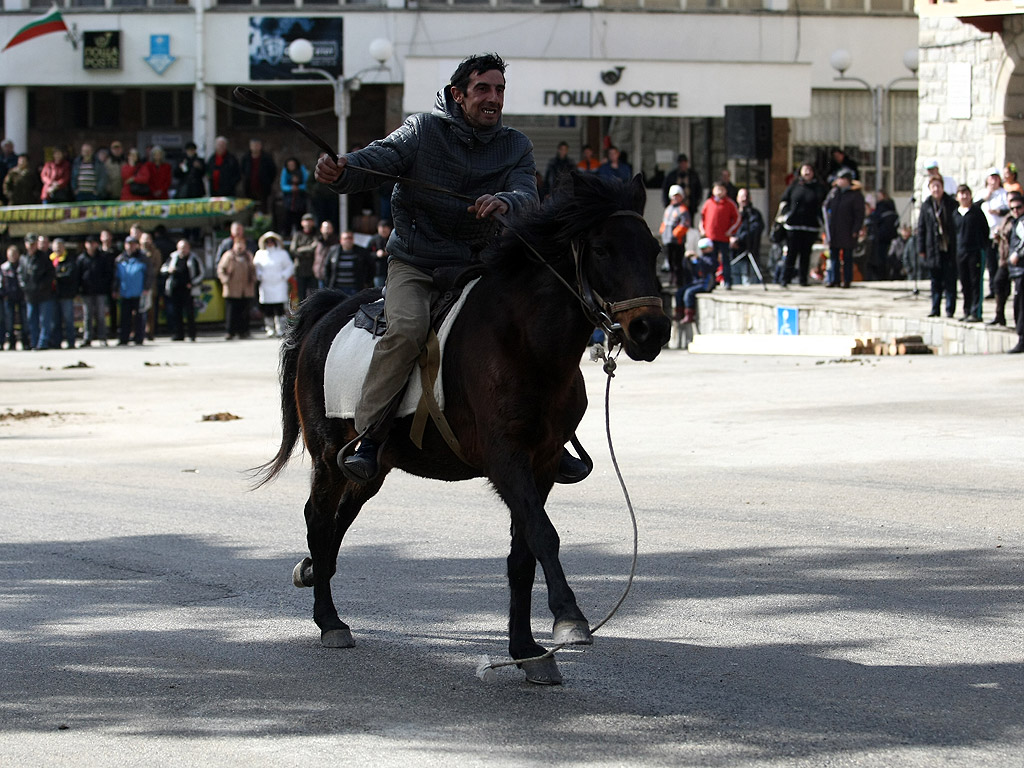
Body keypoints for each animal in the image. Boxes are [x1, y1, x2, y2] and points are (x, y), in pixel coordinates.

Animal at [256, 173, 671, 684]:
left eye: (653, 248)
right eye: (602, 249)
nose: (651, 330)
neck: (524, 341)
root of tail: (330, 309)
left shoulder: (543, 464)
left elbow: (524, 552)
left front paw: (525, 648)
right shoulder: (506, 459)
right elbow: (544, 534)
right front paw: (569, 618)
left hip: (371, 469)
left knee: (339, 521)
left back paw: (316, 573)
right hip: (328, 456)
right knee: (318, 518)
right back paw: (329, 620)